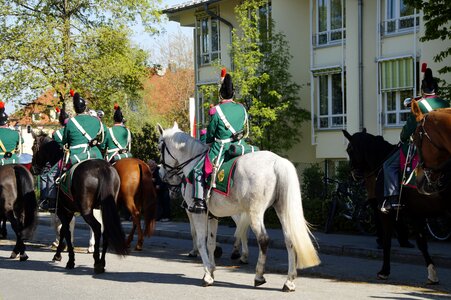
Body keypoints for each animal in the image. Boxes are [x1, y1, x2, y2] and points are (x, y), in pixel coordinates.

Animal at [31, 132, 127, 274]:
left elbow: (66, 231)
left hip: (86, 210)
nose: (33, 169)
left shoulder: (63, 211)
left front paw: (70, 260)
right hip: (106, 208)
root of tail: (103, 168)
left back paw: (97, 261)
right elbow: (64, 231)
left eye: (33, 148)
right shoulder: (69, 211)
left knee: (97, 227)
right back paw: (102, 262)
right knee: (106, 230)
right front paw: (58, 254)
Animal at [159, 123, 322, 292]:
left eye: (159, 147)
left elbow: (200, 240)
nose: (161, 174)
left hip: (255, 212)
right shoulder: (212, 215)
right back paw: (289, 281)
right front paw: (211, 270)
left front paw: (207, 275)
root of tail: (277, 162)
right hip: (281, 209)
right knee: (289, 239)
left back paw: (258, 276)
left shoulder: (197, 212)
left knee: (263, 239)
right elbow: (210, 243)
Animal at [344, 129, 450, 284]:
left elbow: (387, 241)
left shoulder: (385, 213)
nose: (353, 174)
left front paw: (384, 271)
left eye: (349, 149)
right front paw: (432, 273)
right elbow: (422, 243)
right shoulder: (416, 214)